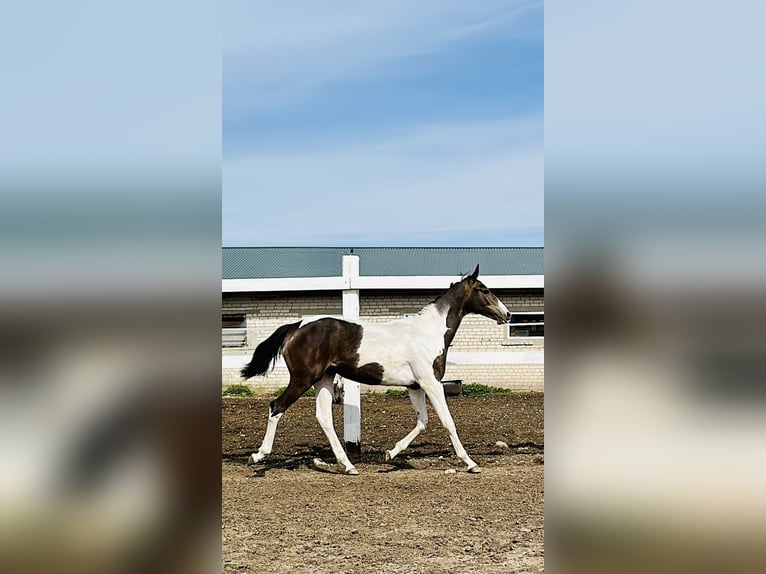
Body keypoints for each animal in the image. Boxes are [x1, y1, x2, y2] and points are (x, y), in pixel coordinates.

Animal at [243, 264, 512, 474]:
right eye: (484, 290)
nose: (507, 314)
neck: (428, 332)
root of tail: (295, 327)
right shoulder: (431, 382)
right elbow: (447, 421)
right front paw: (470, 463)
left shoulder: (415, 386)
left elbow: (423, 421)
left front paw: (390, 453)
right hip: (303, 378)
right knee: (276, 406)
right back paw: (257, 456)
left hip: (324, 379)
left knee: (324, 417)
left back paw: (348, 465)